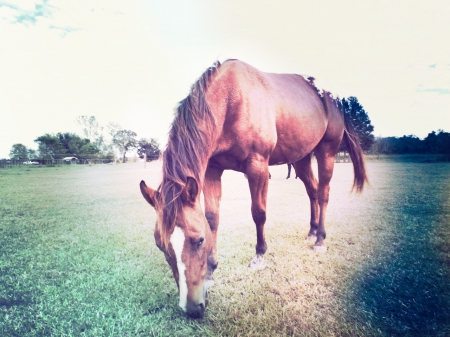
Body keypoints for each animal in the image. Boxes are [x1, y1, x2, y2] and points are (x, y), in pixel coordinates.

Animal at [141, 59, 370, 316]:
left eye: (198, 240)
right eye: (160, 245)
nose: (191, 308)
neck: (230, 99)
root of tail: (334, 97)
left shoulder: (258, 166)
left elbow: (258, 213)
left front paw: (259, 256)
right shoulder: (212, 169)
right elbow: (212, 218)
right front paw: (211, 269)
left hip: (327, 151)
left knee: (323, 193)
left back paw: (320, 239)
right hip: (301, 158)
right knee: (312, 191)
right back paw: (311, 231)